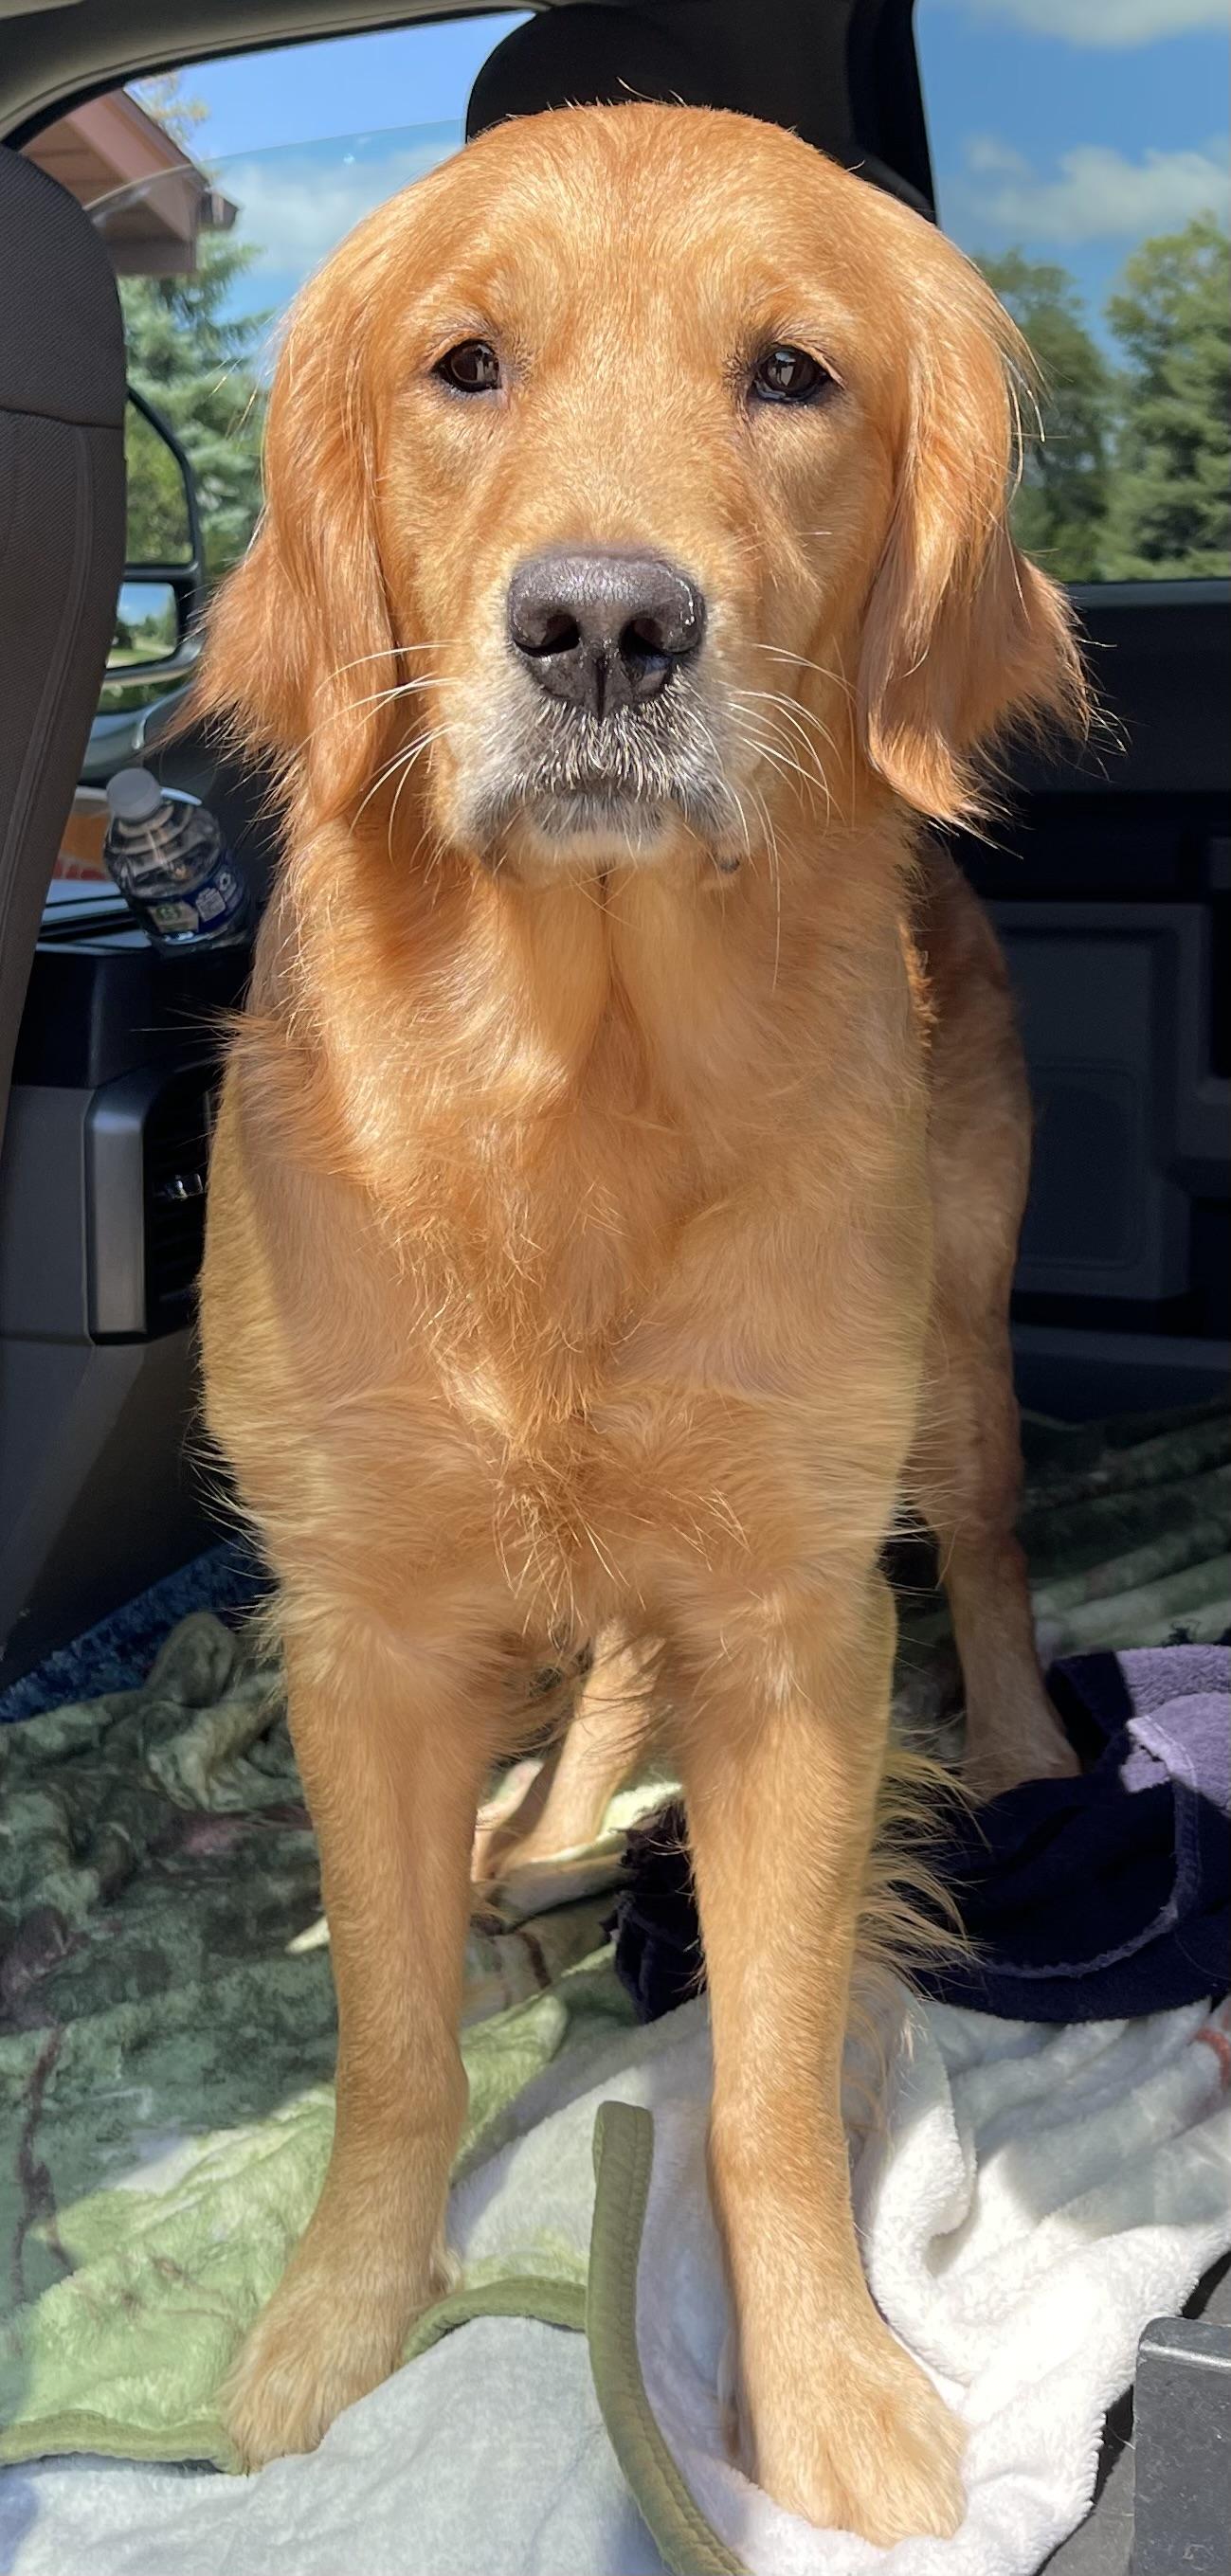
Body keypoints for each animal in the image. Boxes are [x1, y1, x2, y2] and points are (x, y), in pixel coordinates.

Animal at [193, 103, 1086, 2544]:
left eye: (789, 374)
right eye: (463, 365)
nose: (604, 625)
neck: (579, 1088)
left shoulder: (793, 1622)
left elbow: (766, 2074)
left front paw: (829, 2393)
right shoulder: (360, 1624)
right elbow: (393, 2031)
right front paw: (334, 2316)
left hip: (954, 1353)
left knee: (984, 1544)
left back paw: (1030, 1755)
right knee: (599, 1659)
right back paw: (558, 1814)